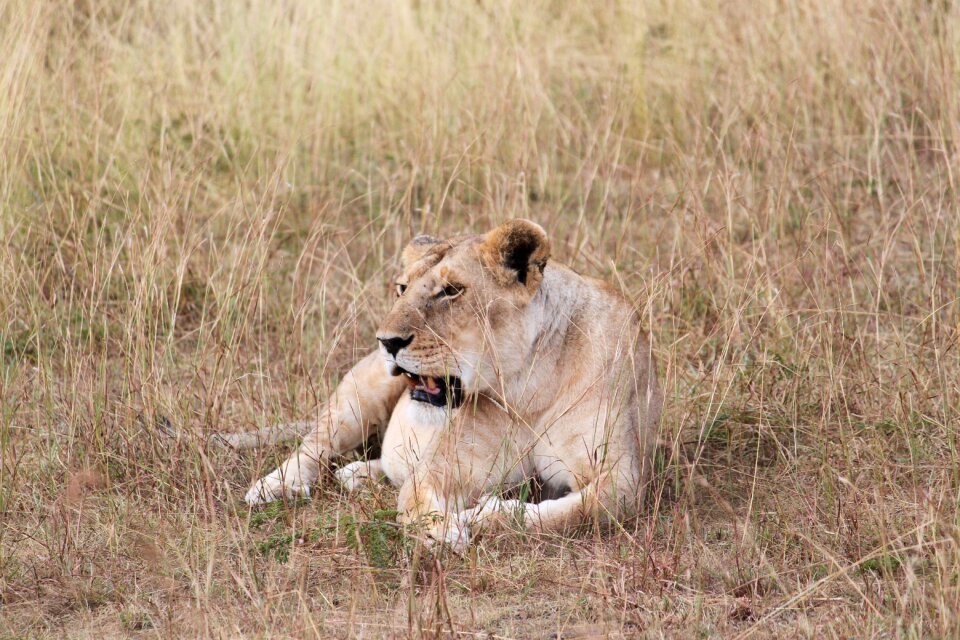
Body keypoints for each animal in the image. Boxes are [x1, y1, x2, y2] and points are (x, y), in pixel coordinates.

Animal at [242, 220, 660, 552]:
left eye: (451, 290)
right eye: (402, 288)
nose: (387, 341)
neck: (527, 390)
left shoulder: (624, 479)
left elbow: (581, 511)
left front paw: (487, 514)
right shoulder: (443, 467)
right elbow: (415, 501)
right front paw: (444, 532)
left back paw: (357, 474)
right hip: (359, 394)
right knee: (312, 446)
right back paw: (272, 487)